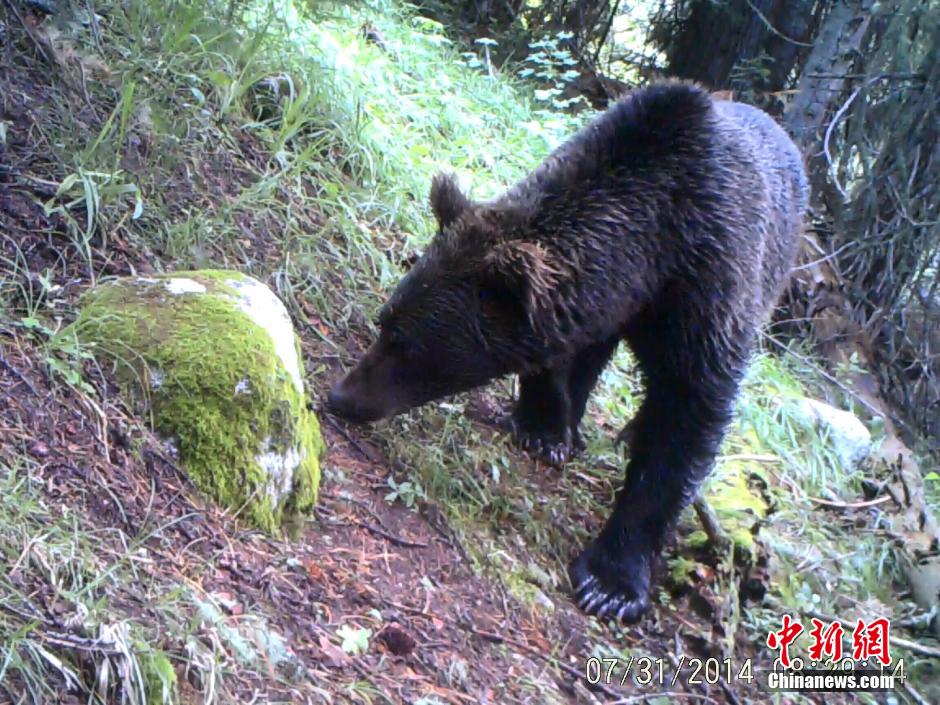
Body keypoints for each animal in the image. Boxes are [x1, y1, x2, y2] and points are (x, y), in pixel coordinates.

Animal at [326, 81, 804, 620]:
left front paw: (610, 583)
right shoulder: (601, 300)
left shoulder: (708, 290)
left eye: (406, 346)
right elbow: (562, 353)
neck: (654, 252)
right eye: (385, 320)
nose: (341, 397)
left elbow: (687, 419)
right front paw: (545, 429)